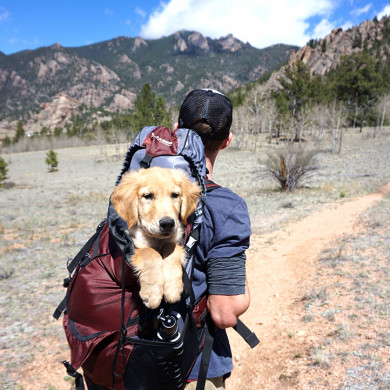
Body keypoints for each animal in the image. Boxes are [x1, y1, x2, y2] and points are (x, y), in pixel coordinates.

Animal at [110, 166, 200, 310]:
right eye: (148, 196)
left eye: (174, 195)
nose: (168, 223)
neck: (157, 239)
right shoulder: (133, 246)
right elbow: (150, 252)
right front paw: (153, 294)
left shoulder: (175, 241)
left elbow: (171, 248)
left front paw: (172, 288)